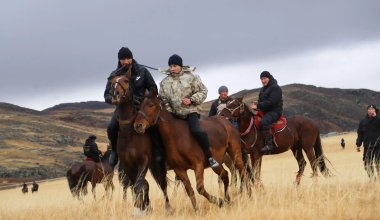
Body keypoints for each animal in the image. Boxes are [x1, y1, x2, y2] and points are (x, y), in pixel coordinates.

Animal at [109, 72, 170, 215]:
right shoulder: (127, 165)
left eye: (126, 80)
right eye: (112, 82)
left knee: (162, 184)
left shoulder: (143, 161)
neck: (129, 133)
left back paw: (167, 207)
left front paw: (139, 209)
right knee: (145, 184)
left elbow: (138, 185)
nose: (115, 94)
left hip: (157, 165)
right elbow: (136, 185)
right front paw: (141, 207)